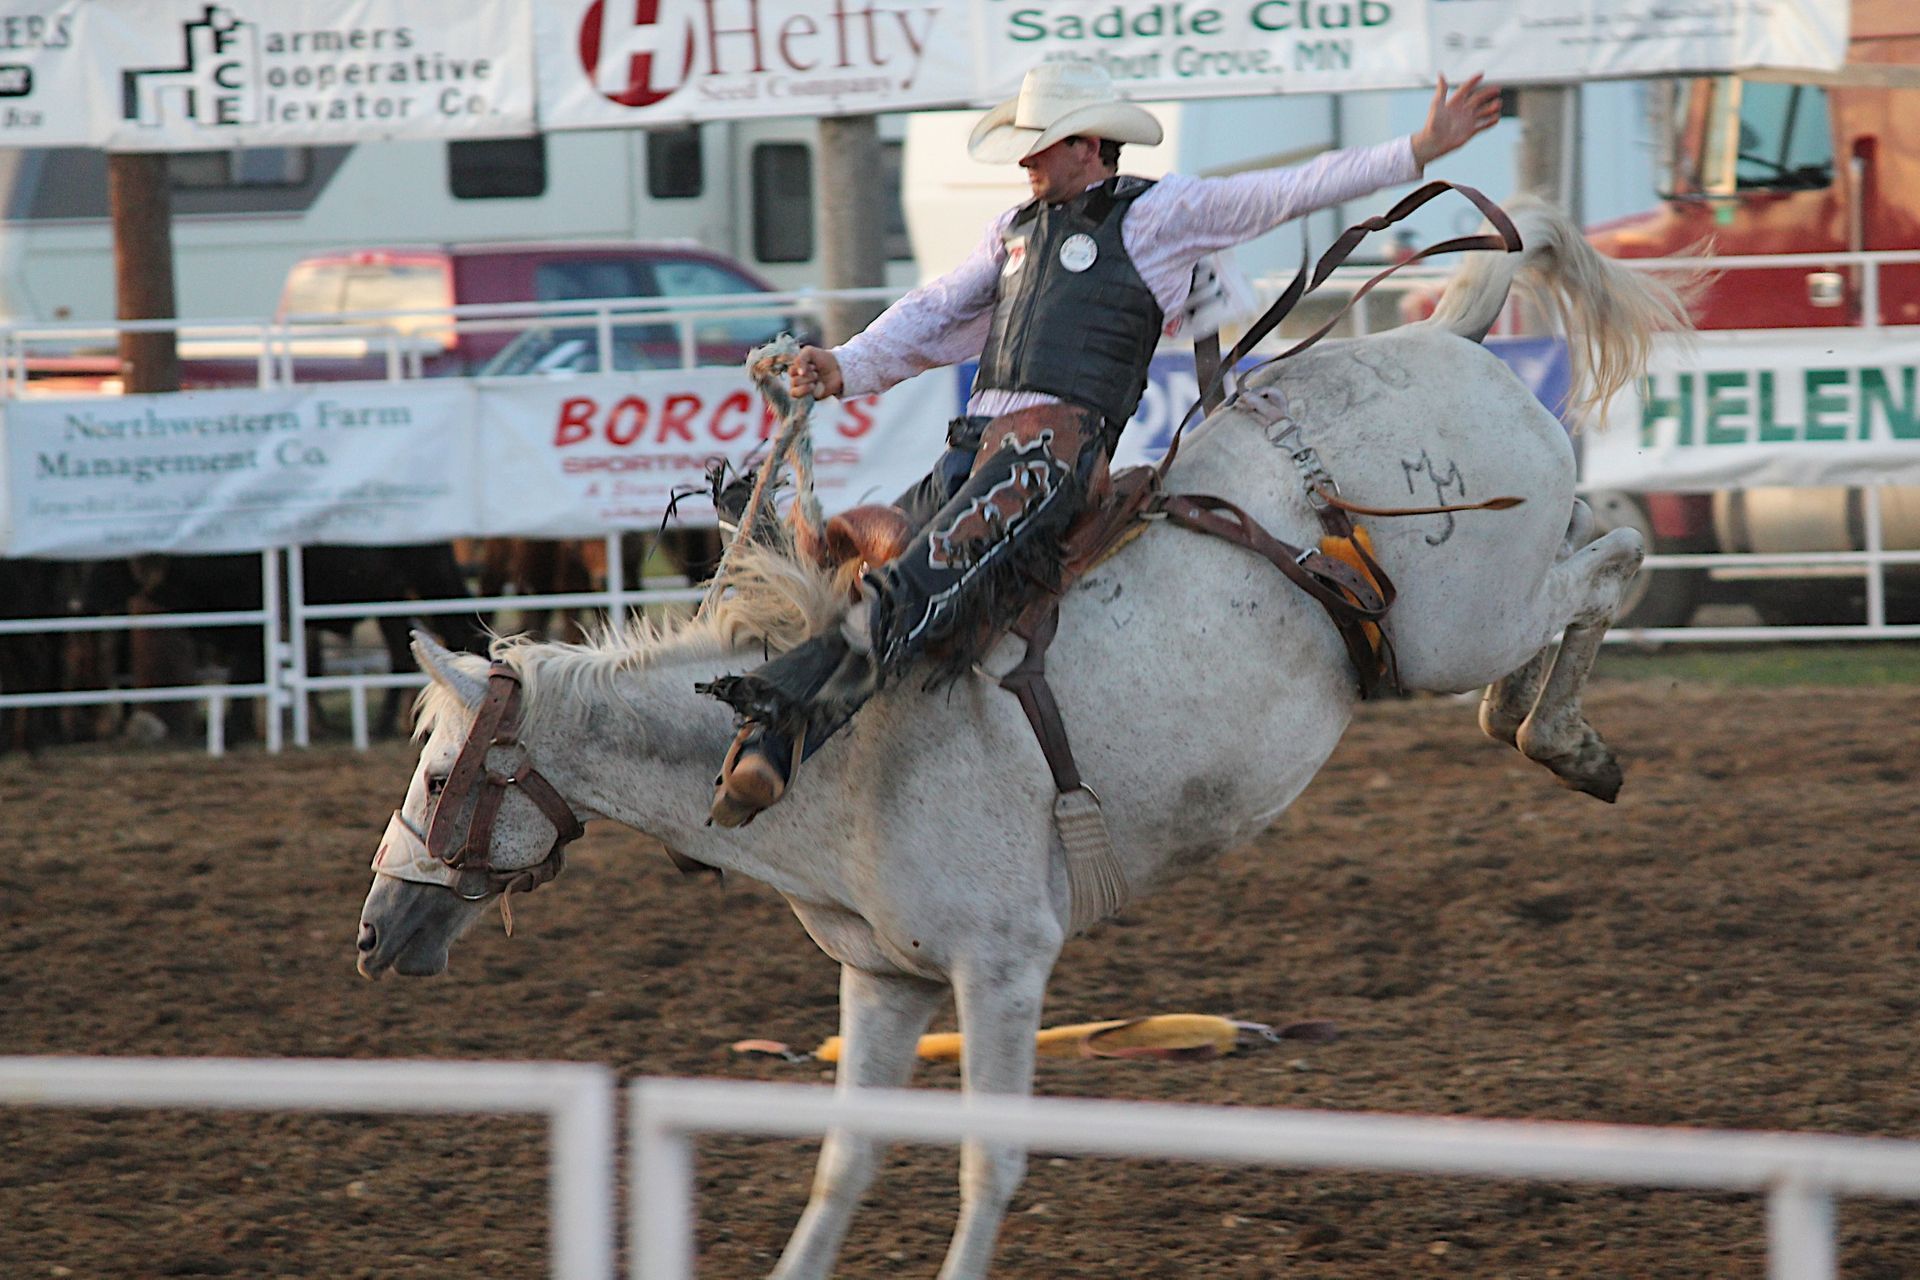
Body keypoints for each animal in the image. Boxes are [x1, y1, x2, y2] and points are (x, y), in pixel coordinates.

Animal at [353, 197, 1689, 1280]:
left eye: (438, 768)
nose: (373, 931)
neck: (823, 746)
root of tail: (1452, 332)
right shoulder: (886, 978)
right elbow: (842, 1163)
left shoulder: (1001, 966)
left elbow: (986, 1163)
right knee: (1589, 556)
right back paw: (1544, 722)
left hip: (1464, 618)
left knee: (1617, 556)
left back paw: (1560, 734)